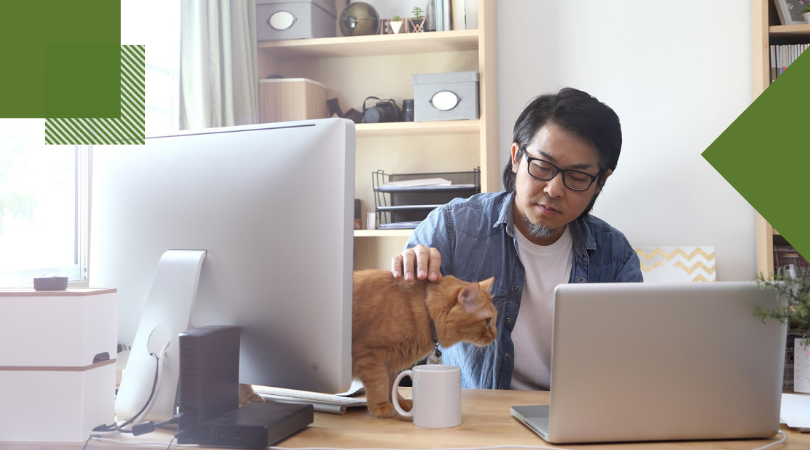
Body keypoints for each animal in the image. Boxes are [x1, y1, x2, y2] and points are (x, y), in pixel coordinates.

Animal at [350, 268, 496, 418]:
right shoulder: (371, 354)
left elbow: (392, 385)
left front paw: (399, 403)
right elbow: (380, 383)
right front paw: (381, 406)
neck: (425, 313)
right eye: (487, 320)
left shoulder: (391, 361)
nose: (495, 336)